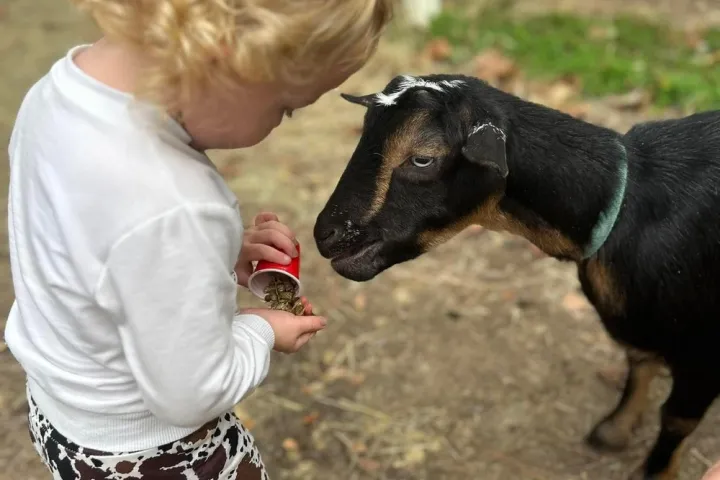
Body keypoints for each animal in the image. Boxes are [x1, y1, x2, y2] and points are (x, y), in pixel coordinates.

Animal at [313, 73, 720, 480]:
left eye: (422, 158)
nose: (324, 235)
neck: (625, 204)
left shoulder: (701, 350)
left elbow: (675, 419)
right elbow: (639, 365)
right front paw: (613, 432)